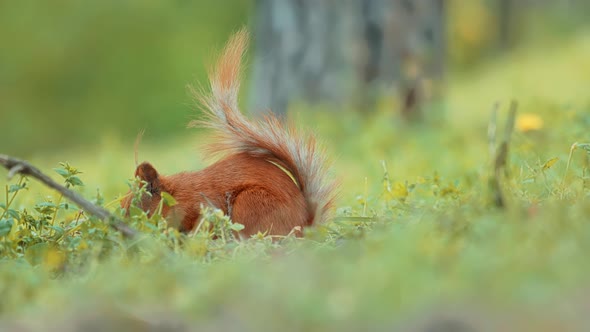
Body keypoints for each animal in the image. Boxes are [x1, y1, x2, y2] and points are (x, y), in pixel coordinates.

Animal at [120, 28, 338, 236]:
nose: (122, 222)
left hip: (251, 204)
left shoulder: (200, 206)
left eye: (133, 208)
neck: (176, 194)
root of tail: (305, 227)